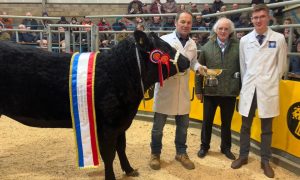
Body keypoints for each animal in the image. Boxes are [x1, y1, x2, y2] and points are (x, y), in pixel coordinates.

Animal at [0, 30, 190, 179]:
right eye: (164, 48)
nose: (187, 61)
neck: (118, 72)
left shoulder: (121, 123)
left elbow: (121, 148)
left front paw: (129, 170)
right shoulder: (108, 125)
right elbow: (109, 154)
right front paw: (111, 177)